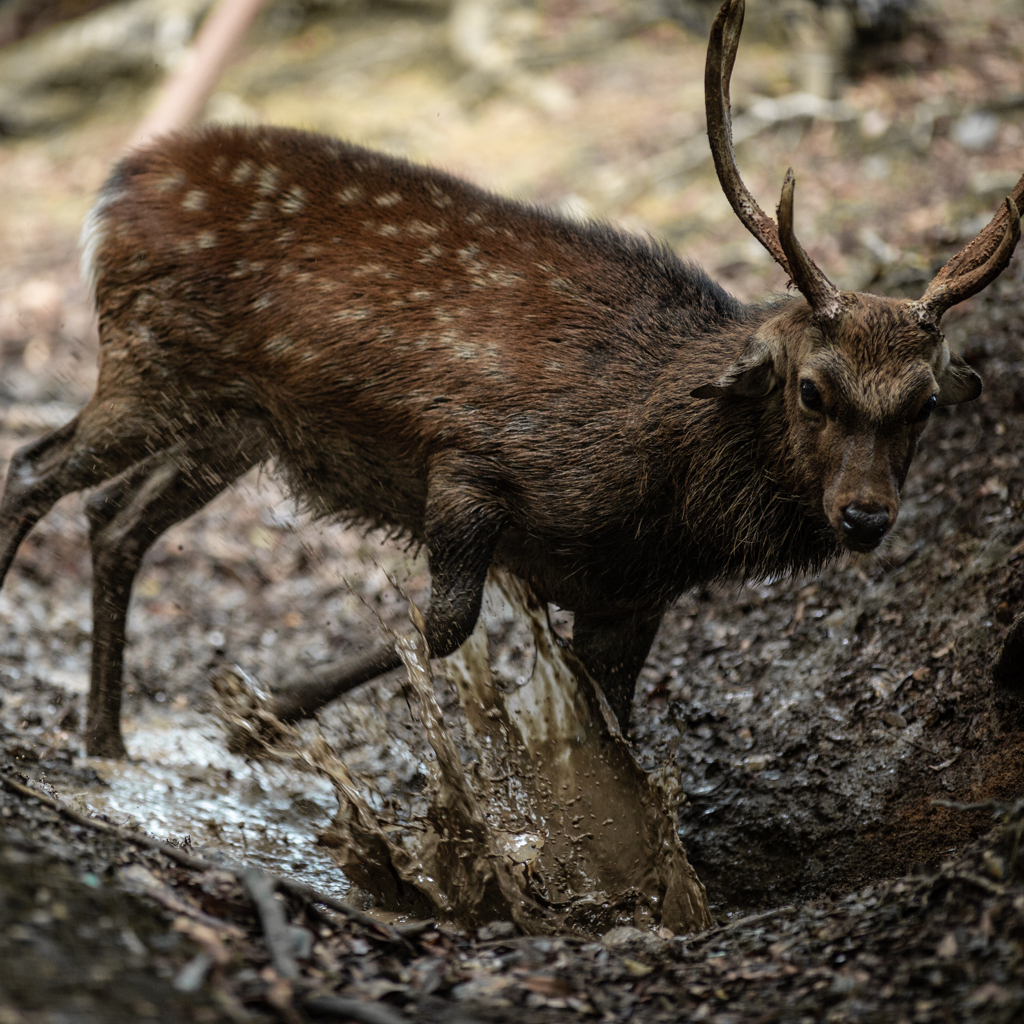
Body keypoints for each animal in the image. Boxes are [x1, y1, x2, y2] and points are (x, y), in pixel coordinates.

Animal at [0, 0, 1019, 753]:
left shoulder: (630, 597)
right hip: (148, 358)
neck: (660, 494)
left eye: (927, 402)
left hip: (231, 424)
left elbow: (615, 723)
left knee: (114, 518)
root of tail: (112, 189)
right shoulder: (471, 462)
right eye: (813, 388)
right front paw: (266, 717)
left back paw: (106, 740)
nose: (866, 517)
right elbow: (445, 627)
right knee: (33, 468)